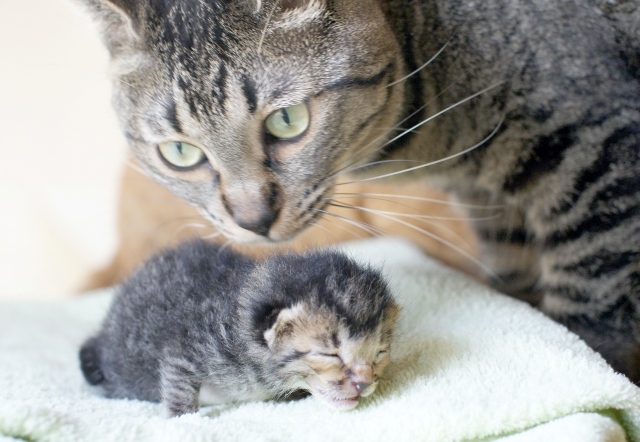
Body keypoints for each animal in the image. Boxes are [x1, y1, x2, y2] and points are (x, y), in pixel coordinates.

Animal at [71, 0, 640, 380]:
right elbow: (519, 282)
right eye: (180, 152)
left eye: (287, 120)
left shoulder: (597, 147)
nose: (253, 219)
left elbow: (592, 309)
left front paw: (600, 368)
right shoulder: (498, 209)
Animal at [79, 240, 400, 416]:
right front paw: (183, 419)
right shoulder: (187, 347)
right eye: (329, 355)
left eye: (379, 354)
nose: (364, 384)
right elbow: (179, 386)